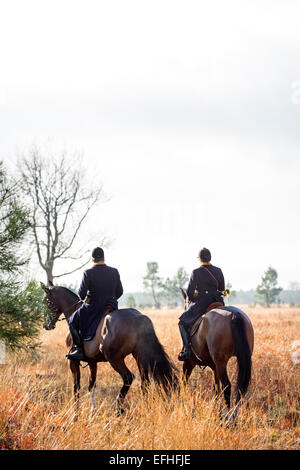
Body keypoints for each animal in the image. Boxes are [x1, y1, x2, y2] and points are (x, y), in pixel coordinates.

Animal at [40, 282, 177, 418]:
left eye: (46, 301)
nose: (46, 325)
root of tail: (139, 318)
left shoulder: (73, 361)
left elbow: (76, 387)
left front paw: (76, 415)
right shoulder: (92, 362)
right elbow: (92, 385)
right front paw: (91, 413)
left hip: (115, 359)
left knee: (128, 377)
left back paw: (119, 408)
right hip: (139, 356)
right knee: (145, 381)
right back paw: (145, 407)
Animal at [179, 288, 254, 424]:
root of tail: (234, 314)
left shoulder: (189, 363)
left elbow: (184, 382)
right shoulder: (214, 368)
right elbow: (216, 389)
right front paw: (216, 411)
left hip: (221, 362)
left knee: (227, 386)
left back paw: (228, 418)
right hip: (242, 359)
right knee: (240, 388)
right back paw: (233, 416)